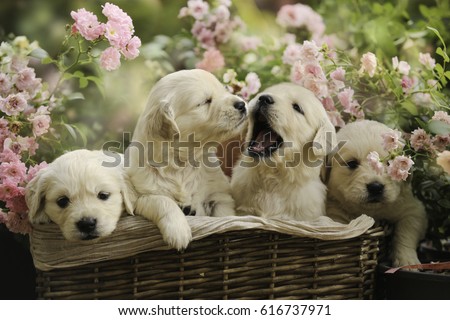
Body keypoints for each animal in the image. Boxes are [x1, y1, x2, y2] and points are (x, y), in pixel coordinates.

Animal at [125, 69, 248, 250]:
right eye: (205, 102)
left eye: (224, 89)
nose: (242, 104)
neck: (183, 163)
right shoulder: (140, 196)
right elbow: (162, 200)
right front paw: (178, 231)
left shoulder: (219, 194)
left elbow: (224, 216)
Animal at [322, 119, 428, 266]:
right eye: (352, 163)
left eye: (390, 163)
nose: (375, 187)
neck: (372, 211)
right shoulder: (335, 214)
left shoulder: (412, 209)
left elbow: (406, 232)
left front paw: (407, 260)